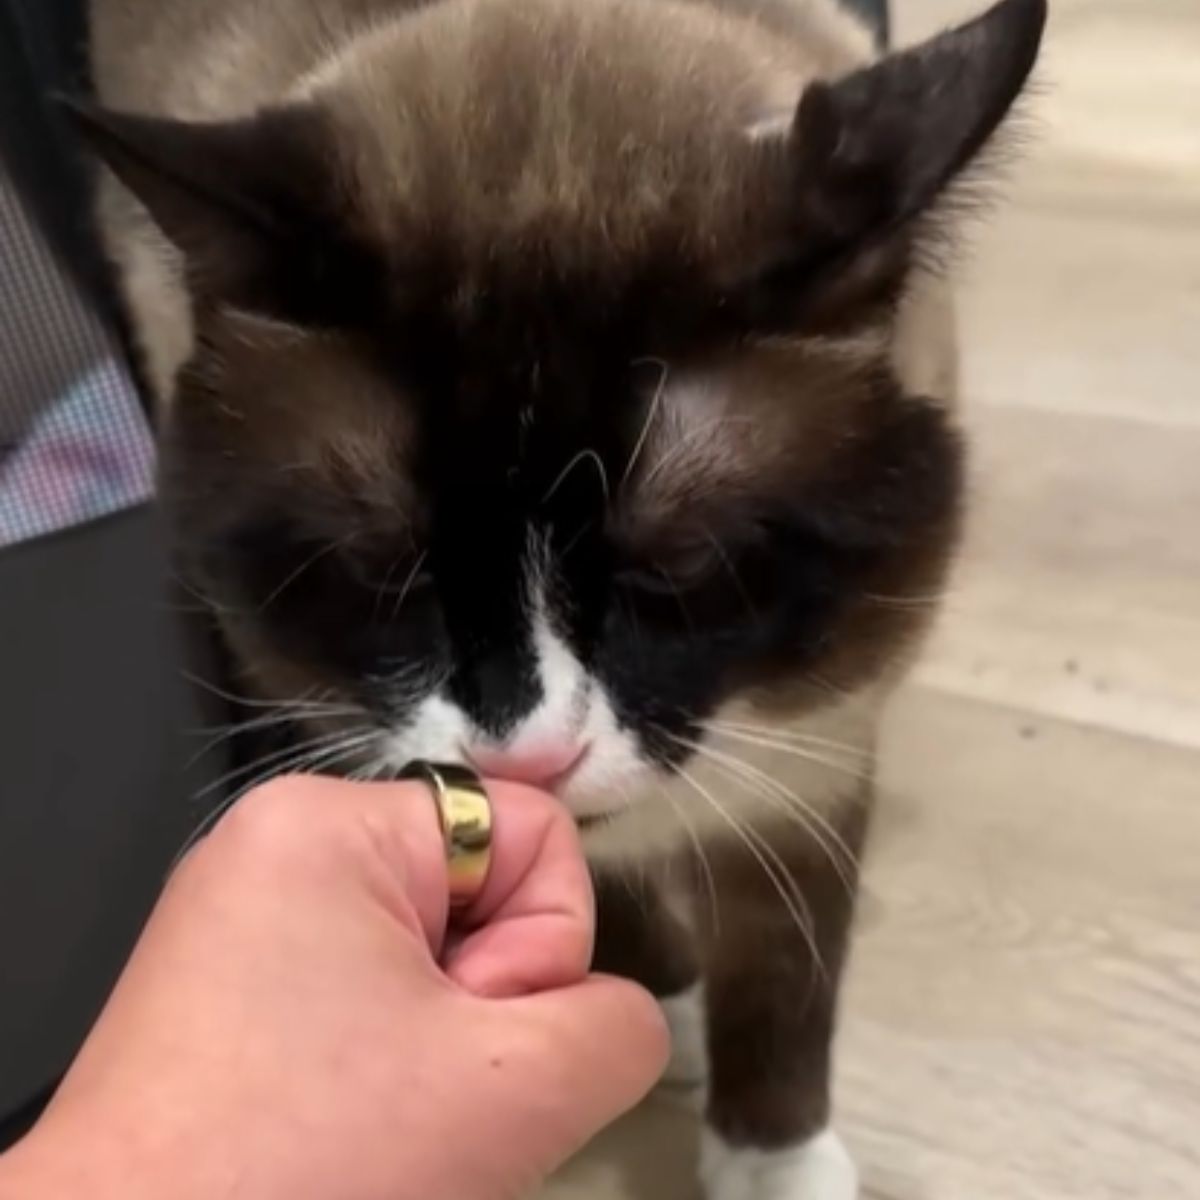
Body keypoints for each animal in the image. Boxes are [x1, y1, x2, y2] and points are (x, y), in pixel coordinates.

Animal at [79, 0, 1046, 1190]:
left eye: (681, 571)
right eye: (387, 572)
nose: (528, 757)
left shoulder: (815, 755)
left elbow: (783, 972)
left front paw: (771, 1157)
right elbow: (612, 899)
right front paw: (653, 1000)